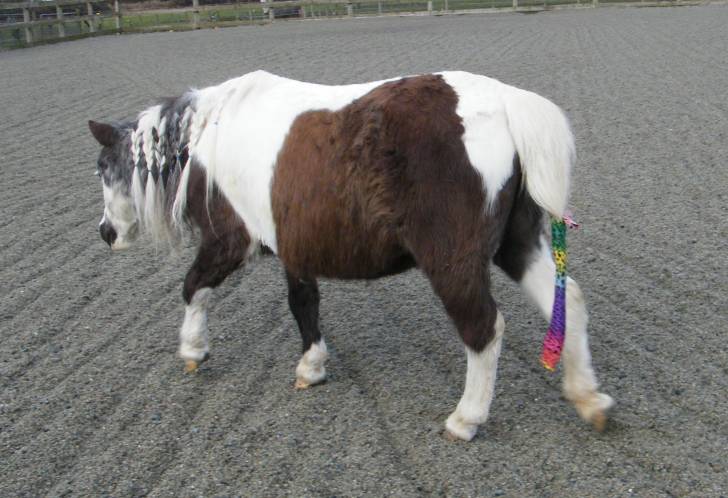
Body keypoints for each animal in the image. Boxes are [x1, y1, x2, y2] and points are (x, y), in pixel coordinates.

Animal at [88, 70, 613, 441]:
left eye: (104, 168)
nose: (106, 232)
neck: (211, 137)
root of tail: (504, 104)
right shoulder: (295, 248)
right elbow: (303, 303)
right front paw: (312, 365)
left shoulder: (228, 241)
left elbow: (193, 286)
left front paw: (194, 350)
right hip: (516, 243)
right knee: (569, 301)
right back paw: (588, 397)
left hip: (452, 261)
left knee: (483, 327)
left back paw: (466, 418)